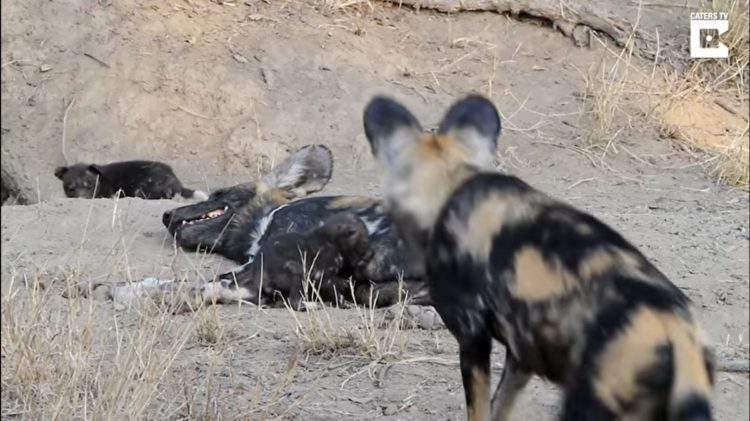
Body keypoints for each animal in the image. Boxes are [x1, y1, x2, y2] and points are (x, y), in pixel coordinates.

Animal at [364, 95, 716, 420]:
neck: (451, 181)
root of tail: (676, 328)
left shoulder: (472, 338)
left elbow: (479, 410)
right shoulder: (522, 356)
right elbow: (499, 408)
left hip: (587, 406)